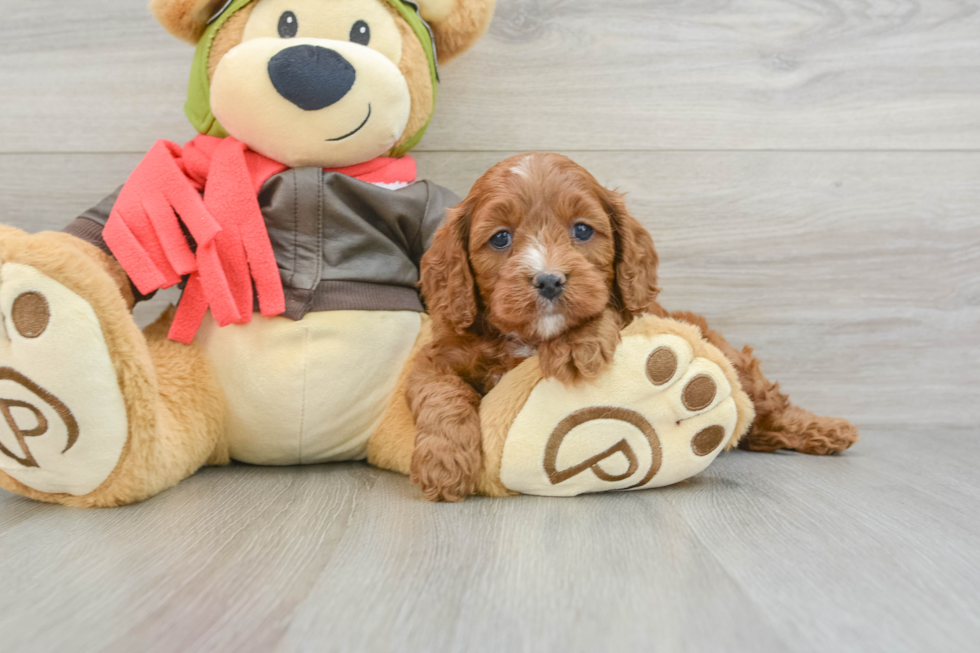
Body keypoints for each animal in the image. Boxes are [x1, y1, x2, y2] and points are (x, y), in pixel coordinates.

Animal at [406, 154, 660, 504]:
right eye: (500, 237)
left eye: (582, 230)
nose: (549, 280)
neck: (527, 337)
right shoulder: (434, 359)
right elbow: (441, 391)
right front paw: (444, 463)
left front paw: (574, 342)